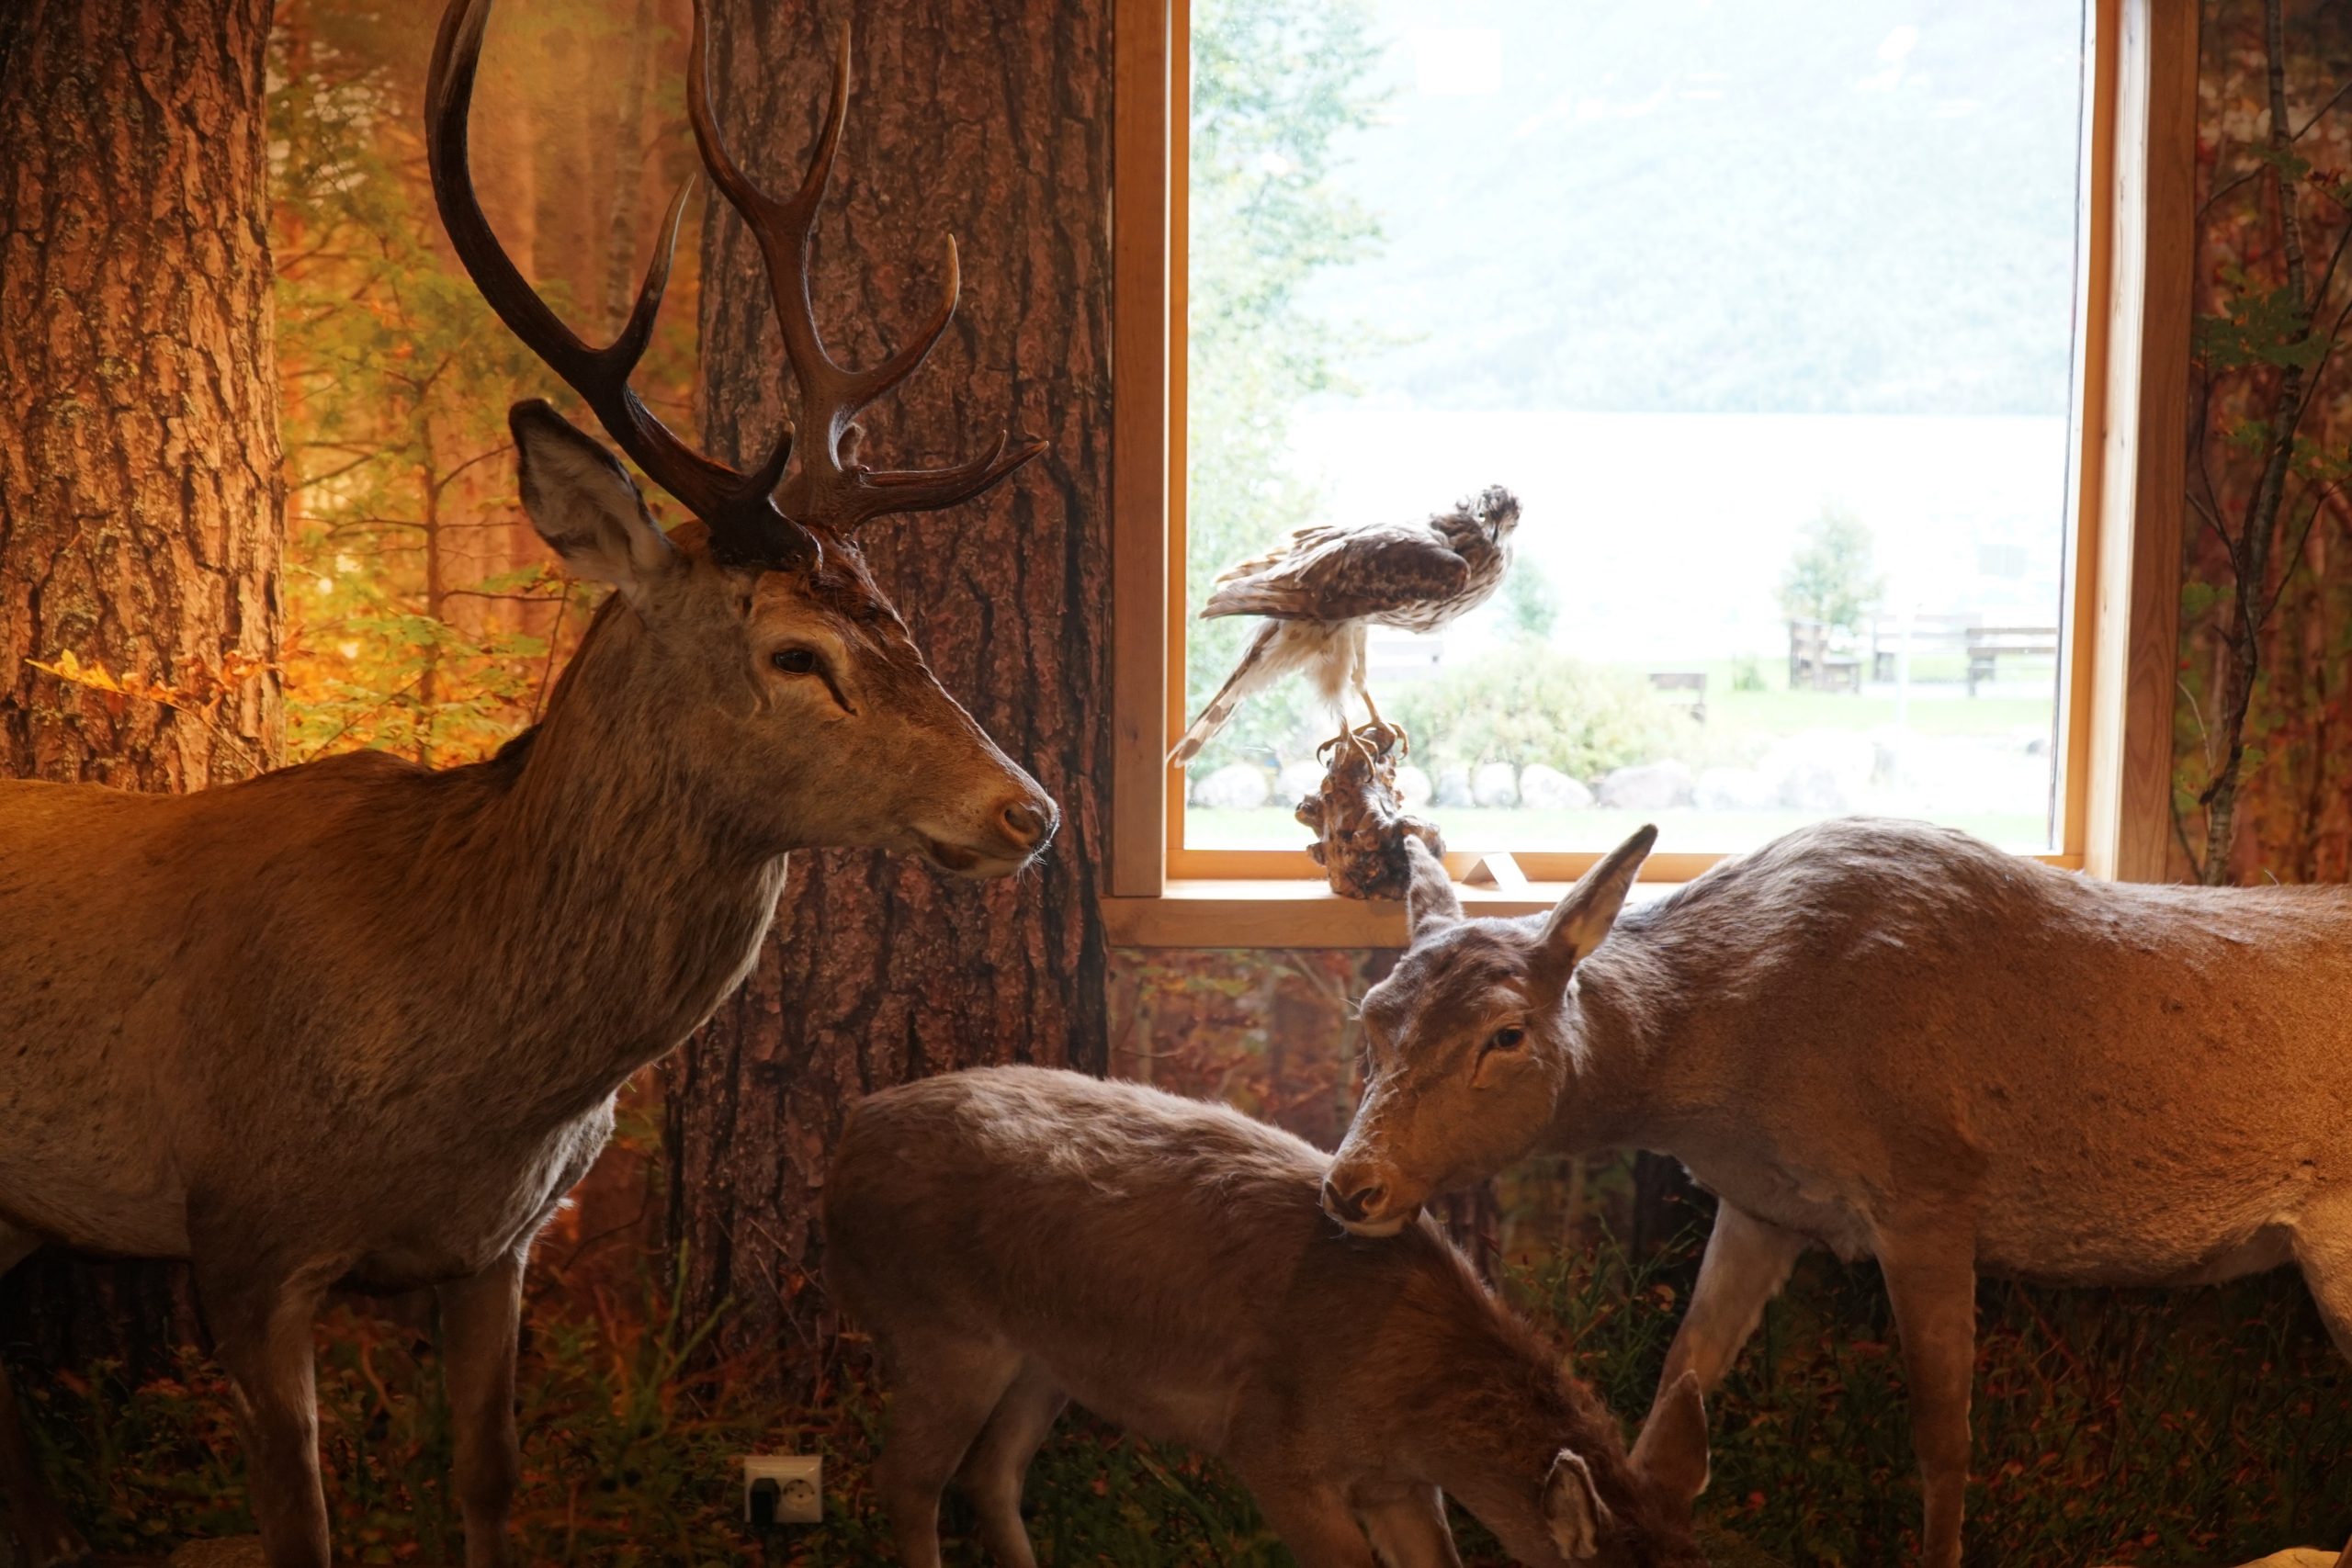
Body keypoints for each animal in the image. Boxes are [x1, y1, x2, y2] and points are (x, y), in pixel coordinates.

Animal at [0, 1, 1060, 1563]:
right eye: (796, 651)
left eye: (902, 622)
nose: (1027, 808)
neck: (462, 1067)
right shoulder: (240, 1230)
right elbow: (300, 1517)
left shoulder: (498, 1243)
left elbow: (487, 1474)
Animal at [826, 1065, 1714, 1568]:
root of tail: (843, 1137)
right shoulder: (1269, 1448)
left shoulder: (1400, 1485)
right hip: (940, 1328)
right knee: (907, 1479)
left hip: (1045, 1361)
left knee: (990, 1473)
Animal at [1317, 820, 2352, 1568]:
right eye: (1373, 1015)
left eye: (1506, 1034)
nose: (1352, 1184)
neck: (1726, 1055)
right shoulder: (1763, 1206)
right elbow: (1675, 1384)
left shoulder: (1929, 1188)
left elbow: (1943, 1439)